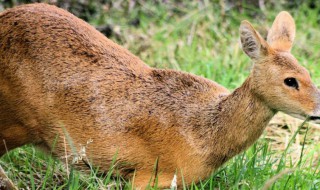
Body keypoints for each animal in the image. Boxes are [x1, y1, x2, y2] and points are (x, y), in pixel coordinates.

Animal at [0, 2, 318, 189]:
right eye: (290, 81)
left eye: (309, 72)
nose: (317, 109)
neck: (207, 132)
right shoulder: (146, 175)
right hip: (17, 118)